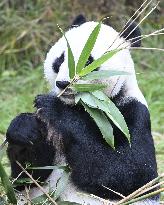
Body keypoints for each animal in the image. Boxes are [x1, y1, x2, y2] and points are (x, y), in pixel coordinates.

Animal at [6, 14, 159, 205]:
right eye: (60, 59)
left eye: (88, 61)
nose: (63, 84)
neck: (83, 105)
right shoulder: (50, 130)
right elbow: (30, 175)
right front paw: (25, 128)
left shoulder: (130, 112)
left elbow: (130, 173)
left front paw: (54, 108)